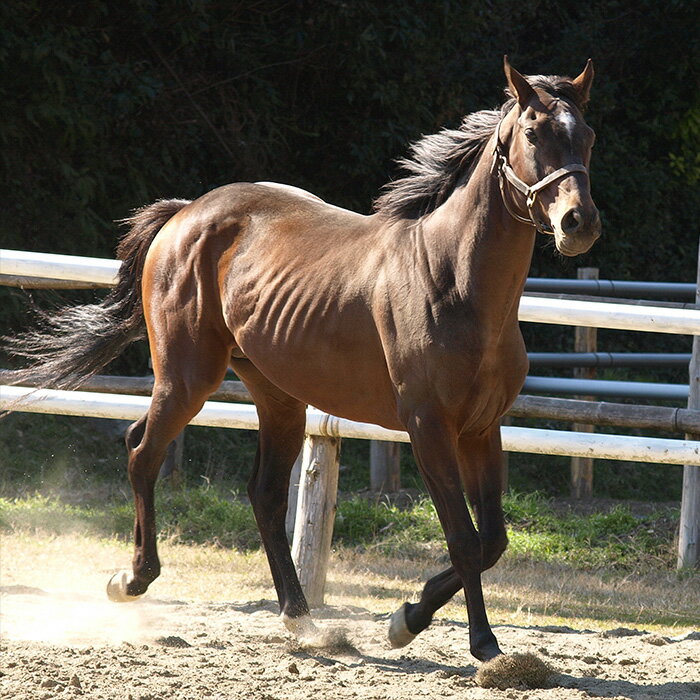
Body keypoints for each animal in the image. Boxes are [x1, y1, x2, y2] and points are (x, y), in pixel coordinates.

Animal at [5, 56, 600, 660]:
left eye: (587, 136)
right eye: (533, 133)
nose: (578, 223)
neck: (453, 280)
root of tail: (186, 213)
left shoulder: (481, 429)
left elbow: (493, 540)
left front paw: (410, 617)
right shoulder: (428, 427)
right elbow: (465, 538)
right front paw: (475, 643)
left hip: (279, 397)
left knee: (264, 493)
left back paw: (301, 617)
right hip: (187, 377)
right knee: (142, 452)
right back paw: (131, 580)